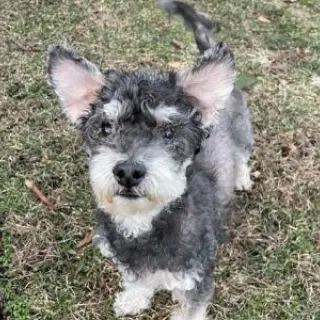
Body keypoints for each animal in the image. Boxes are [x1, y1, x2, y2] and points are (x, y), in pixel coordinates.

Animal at [46, 1, 254, 318]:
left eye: (168, 132)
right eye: (105, 127)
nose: (128, 172)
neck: (144, 223)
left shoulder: (196, 279)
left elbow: (189, 310)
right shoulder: (131, 264)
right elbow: (138, 282)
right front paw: (132, 300)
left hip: (242, 130)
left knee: (242, 155)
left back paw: (242, 178)